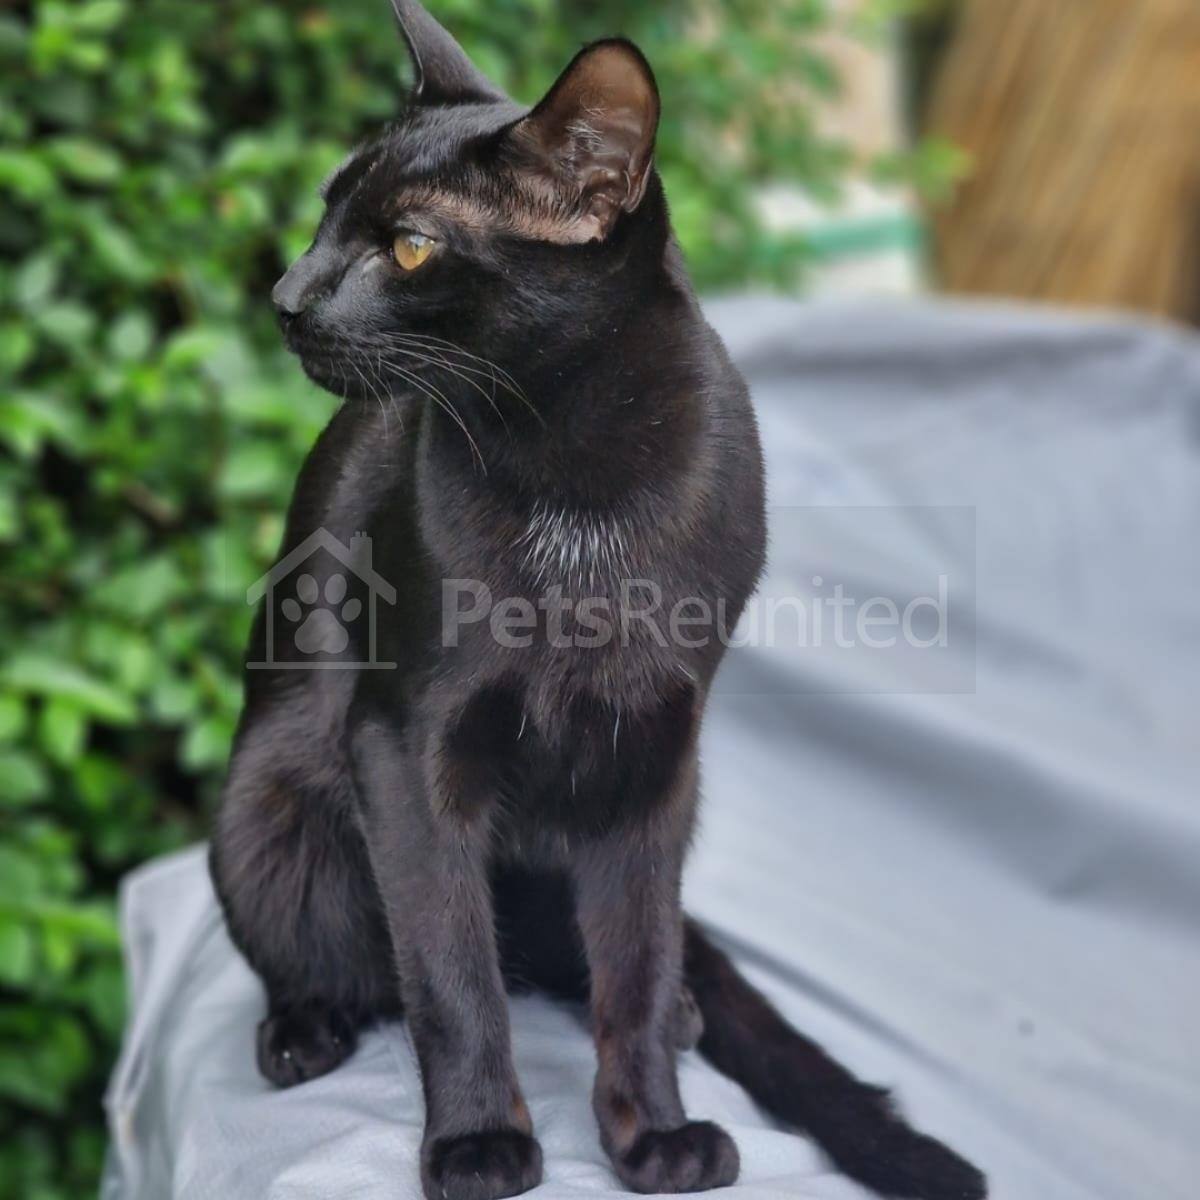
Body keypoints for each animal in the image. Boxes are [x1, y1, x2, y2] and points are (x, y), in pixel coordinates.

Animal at [210, 3, 987, 1199]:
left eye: (410, 246)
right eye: (326, 213)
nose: (286, 299)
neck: (577, 471)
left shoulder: (657, 750)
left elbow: (635, 956)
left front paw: (653, 1134)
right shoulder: (405, 744)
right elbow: (450, 972)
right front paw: (479, 1142)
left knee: (622, 958)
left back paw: (688, 1013)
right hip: (263, 810)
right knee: (335, 957)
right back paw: (302, 1031)